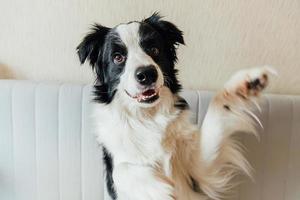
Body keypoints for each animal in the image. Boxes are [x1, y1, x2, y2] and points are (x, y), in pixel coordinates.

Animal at [77, 12, 274, 200]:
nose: (147, 74)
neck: (148, 116)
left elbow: (217, 110)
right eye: (118, 57)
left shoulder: (199, 170)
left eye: (154, 49)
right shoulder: (115, 167)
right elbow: (121, 170)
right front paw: (159, 189)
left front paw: (246, 83)